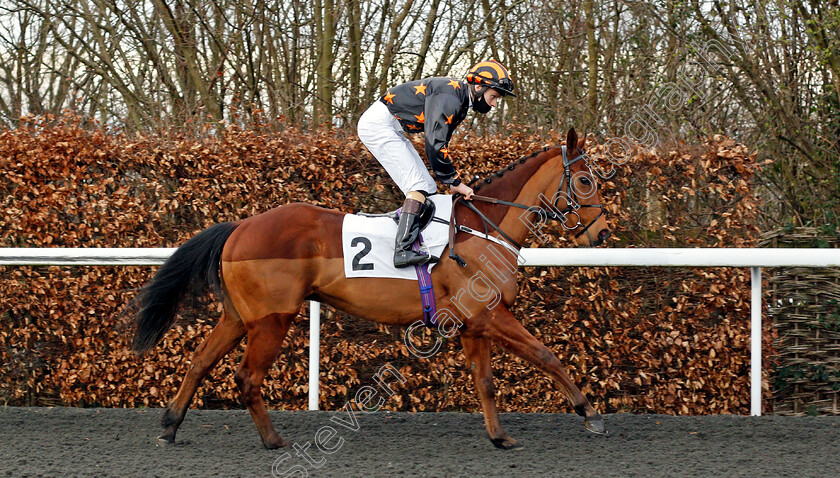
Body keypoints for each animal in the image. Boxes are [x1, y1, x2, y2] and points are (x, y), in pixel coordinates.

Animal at [131, 127, 612, 448]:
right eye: (585, 180)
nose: (604, 232)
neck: (484, 229)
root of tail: (239, 226)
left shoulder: (473, 324)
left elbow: (485, 381)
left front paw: (499, 437)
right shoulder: (490, 315)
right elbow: (547, 355)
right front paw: (589, 413)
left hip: (238, 317)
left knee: (199, 362)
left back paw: (170, 425)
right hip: (272, 318)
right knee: (248, 377)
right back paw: (273, 440)